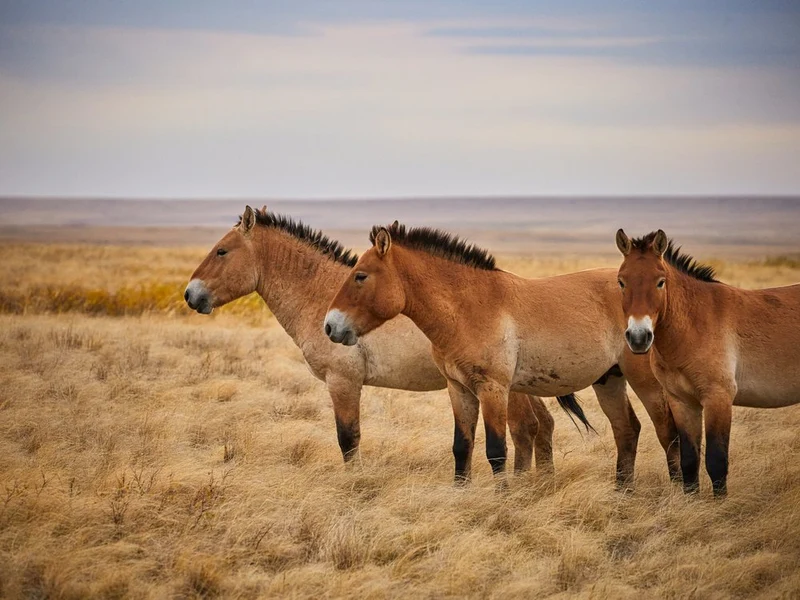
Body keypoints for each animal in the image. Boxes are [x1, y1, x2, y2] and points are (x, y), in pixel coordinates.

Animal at [184, 205, 578, 474]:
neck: (322, 295)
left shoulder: (343, 383)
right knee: (542, 427)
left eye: (221, 251)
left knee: (526, 429)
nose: (190, 295)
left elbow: (348, 439)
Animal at [324, 222, 681, 486]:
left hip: (645, 382)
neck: (466, 309)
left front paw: (502, 500)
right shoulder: (459, 389)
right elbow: (462, 446)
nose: (330, 326)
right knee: (627, 430)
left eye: (360, 275)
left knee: (667, 431)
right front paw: (461, 493)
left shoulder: (493, 389)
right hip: (609, 380)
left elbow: (496, 449)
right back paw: (622, 491)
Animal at [615, 229, 800, 496]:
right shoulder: (682, 402)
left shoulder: (718, 398)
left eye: (660, 281)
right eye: (621, 281)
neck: (695, 323)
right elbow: (689, 461)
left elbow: (716, 461)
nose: (639, 338)